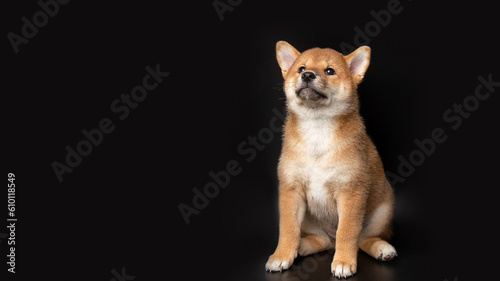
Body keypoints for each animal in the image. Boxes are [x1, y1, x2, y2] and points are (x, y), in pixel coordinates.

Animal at [268, 41, 396, 278]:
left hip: (383, 211)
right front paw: (282, 255)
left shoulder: (351, 191)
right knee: (321, 240)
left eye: (329, 71)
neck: (317, 128)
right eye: (300, 68)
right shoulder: (291, 191)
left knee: (363, 239)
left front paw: (344, 262)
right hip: (310, 221)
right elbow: (288, 229)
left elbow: (347, 231)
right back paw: (301, 247)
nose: (307, 75)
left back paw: (382, 248)